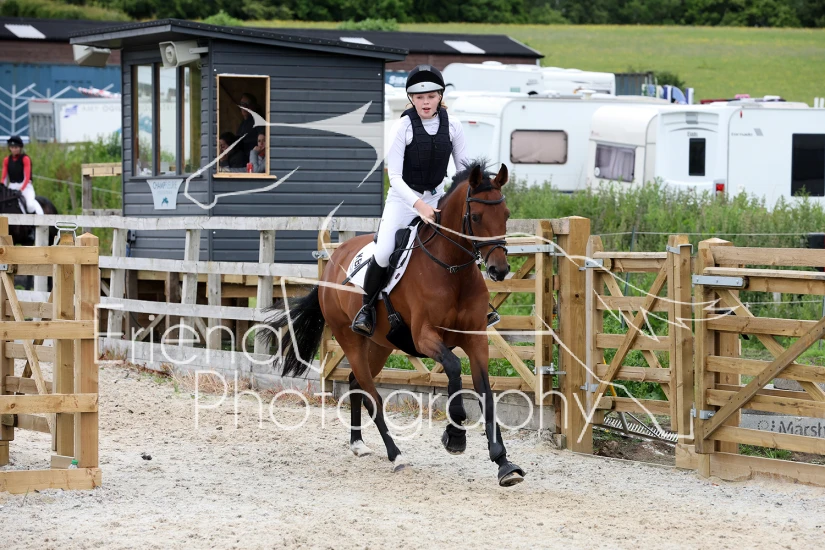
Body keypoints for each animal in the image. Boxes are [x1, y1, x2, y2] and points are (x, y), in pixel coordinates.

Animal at [263, 161, 526, 487]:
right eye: (476, 216)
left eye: (506, 215)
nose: (499, 270)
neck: (452, 269)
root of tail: (333, 261)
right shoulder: (425, 336)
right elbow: (453, 368)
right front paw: (455, 436)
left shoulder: (475, 337)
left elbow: (486, 393)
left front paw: (503, 462)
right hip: (351, 340)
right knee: (372, 396)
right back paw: (396, 455)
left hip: (380, 345)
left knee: (357, 384)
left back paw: (358, 444)